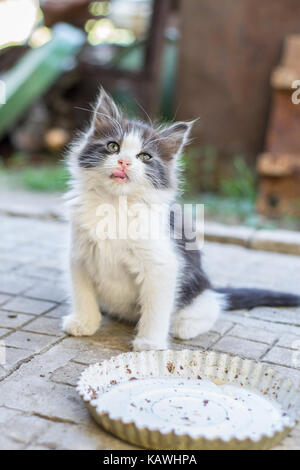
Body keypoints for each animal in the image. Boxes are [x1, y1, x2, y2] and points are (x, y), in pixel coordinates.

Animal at [62, 89, 300, 352]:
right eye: (113, 146)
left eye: (144, 156)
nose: (124, 162)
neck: (114, 204)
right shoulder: (80, 256)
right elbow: (83, 294)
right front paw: (85, 323)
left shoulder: (162, 265)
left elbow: (156, 309)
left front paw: (150, 343)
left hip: (197, 288)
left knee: (214, 304)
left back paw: (185, 325)